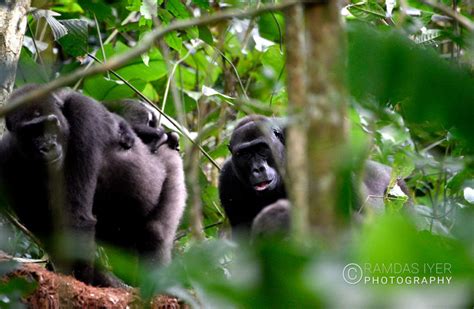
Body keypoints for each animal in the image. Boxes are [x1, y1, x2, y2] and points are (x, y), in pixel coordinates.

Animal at [0, 85, 186, 286]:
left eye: (50, 125)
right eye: (30, 132)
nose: (47, 146)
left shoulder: (84, 114)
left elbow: (78, 220)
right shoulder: (6, 156)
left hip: (170, 161)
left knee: (155, 231)